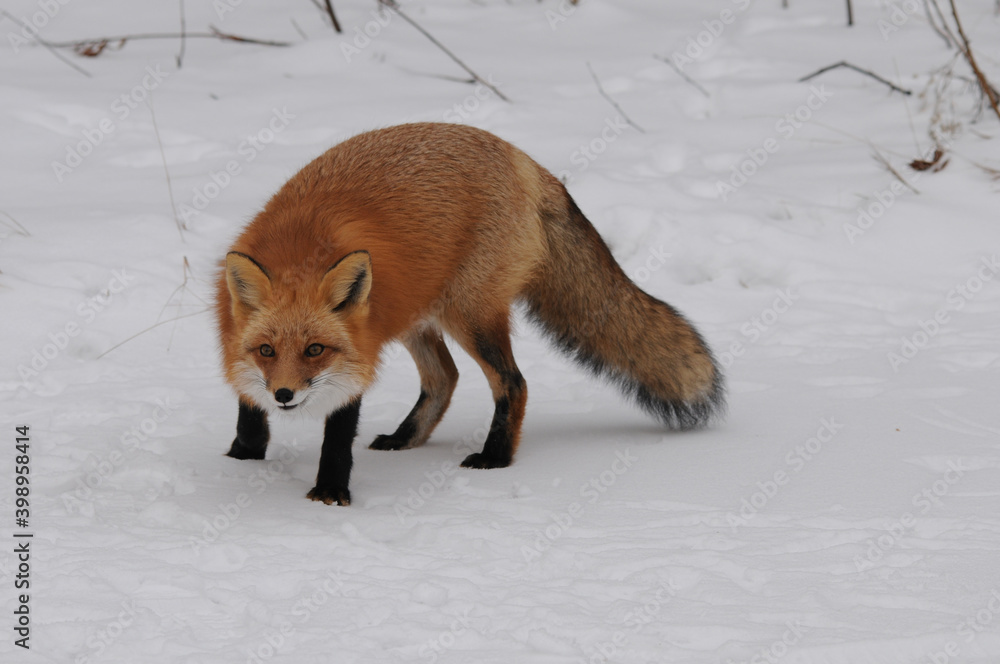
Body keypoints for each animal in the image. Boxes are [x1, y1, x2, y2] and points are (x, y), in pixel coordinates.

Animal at [216, 122, 724, 506]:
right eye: (266, 350)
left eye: (315, 350)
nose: (284, 395)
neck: (299, 247)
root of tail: (527, 161)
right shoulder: (237, 343)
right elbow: (246, 405)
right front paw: (242, 457)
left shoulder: (357, 359)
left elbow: (338, 436)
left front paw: (329, 493)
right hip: (416, 317)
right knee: (445, 378)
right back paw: (405, 439)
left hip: (470, 316)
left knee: (512, 382)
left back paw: (495, 457)